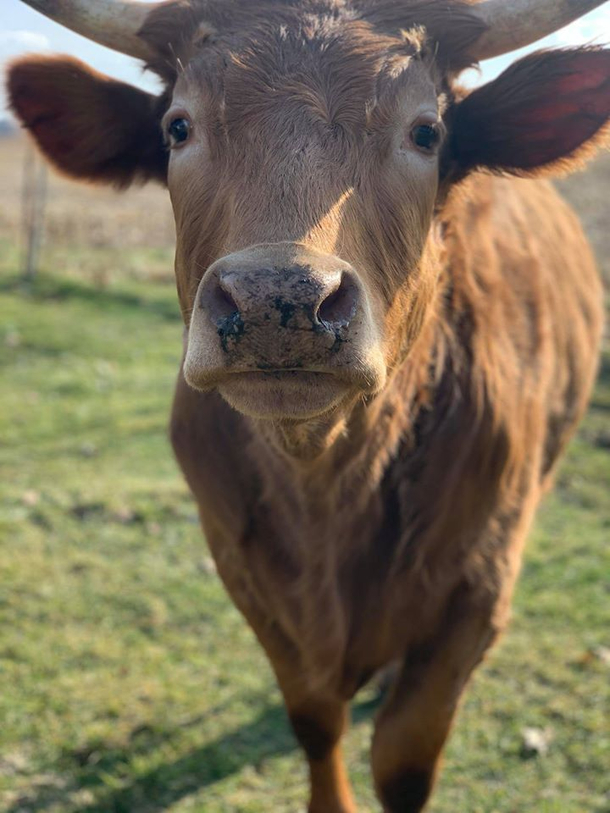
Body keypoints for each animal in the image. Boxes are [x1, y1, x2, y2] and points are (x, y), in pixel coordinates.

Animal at [5, 0, 608, 808]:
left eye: (426, 131)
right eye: (178, 127)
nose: (277, 301)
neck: (327, 481)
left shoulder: (479, 590)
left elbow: (405, 760)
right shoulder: (244, 572)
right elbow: (315, 719)